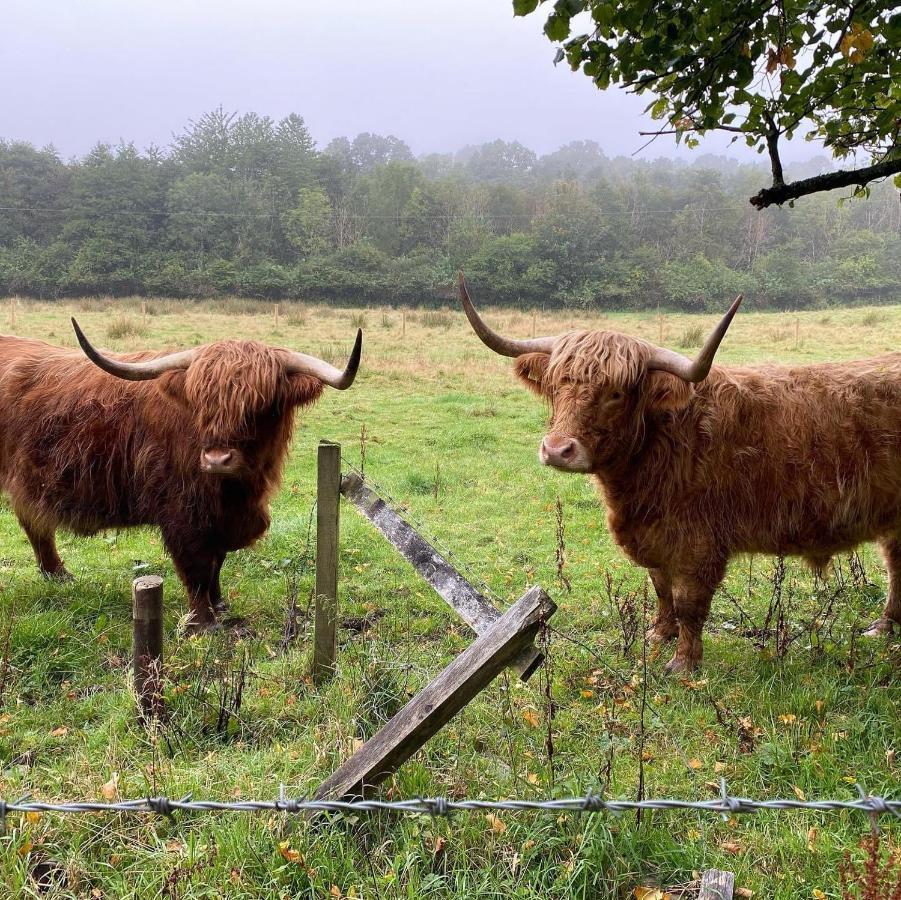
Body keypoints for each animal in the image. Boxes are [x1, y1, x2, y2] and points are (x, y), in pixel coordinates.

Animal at [0, 326, 358, 632]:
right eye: (201, 403)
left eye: (262, 406)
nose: (217, 459)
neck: (236, 493)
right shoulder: (181, 512)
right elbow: (196, 567)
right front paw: (204, 622)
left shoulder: (221, 517)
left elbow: (217, 561)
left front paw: (219, 603)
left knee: (34, 522)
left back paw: (58, 575)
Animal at [460, 276, 900, 676]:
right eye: (554, 386)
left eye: (616, 393)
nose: (557, 450)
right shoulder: (656, 534)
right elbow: (661, 586)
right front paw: (659, 633)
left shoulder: (699, 542)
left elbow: (689, 602)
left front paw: (684, 663)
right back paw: (883, 627)